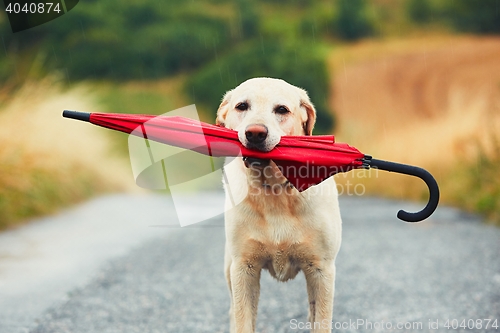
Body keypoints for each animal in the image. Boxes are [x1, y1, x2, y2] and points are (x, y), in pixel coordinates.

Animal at [217, 78, 342, 332]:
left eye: (282, 110)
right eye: (242, 106)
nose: (255, 133)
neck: (274, 191)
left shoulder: (322, 270)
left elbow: (321, 321)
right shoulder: (243, 268)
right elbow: (243, 321)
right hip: (229, 268)